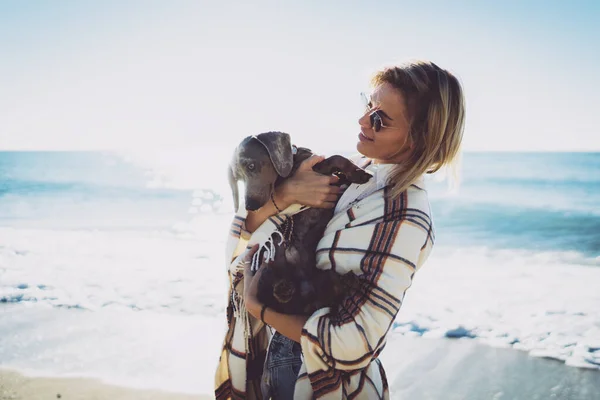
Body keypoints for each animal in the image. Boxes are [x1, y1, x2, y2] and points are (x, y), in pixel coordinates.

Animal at [229, 131, 372, 316]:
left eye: (251, 166)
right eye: (238, 178)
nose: (250, 206)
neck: (294, 164)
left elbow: (336, 159)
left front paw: (357, 173)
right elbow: (333, 158)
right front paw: (358, 172)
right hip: (267, 271)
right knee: (277, 298)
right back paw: (284, 289)